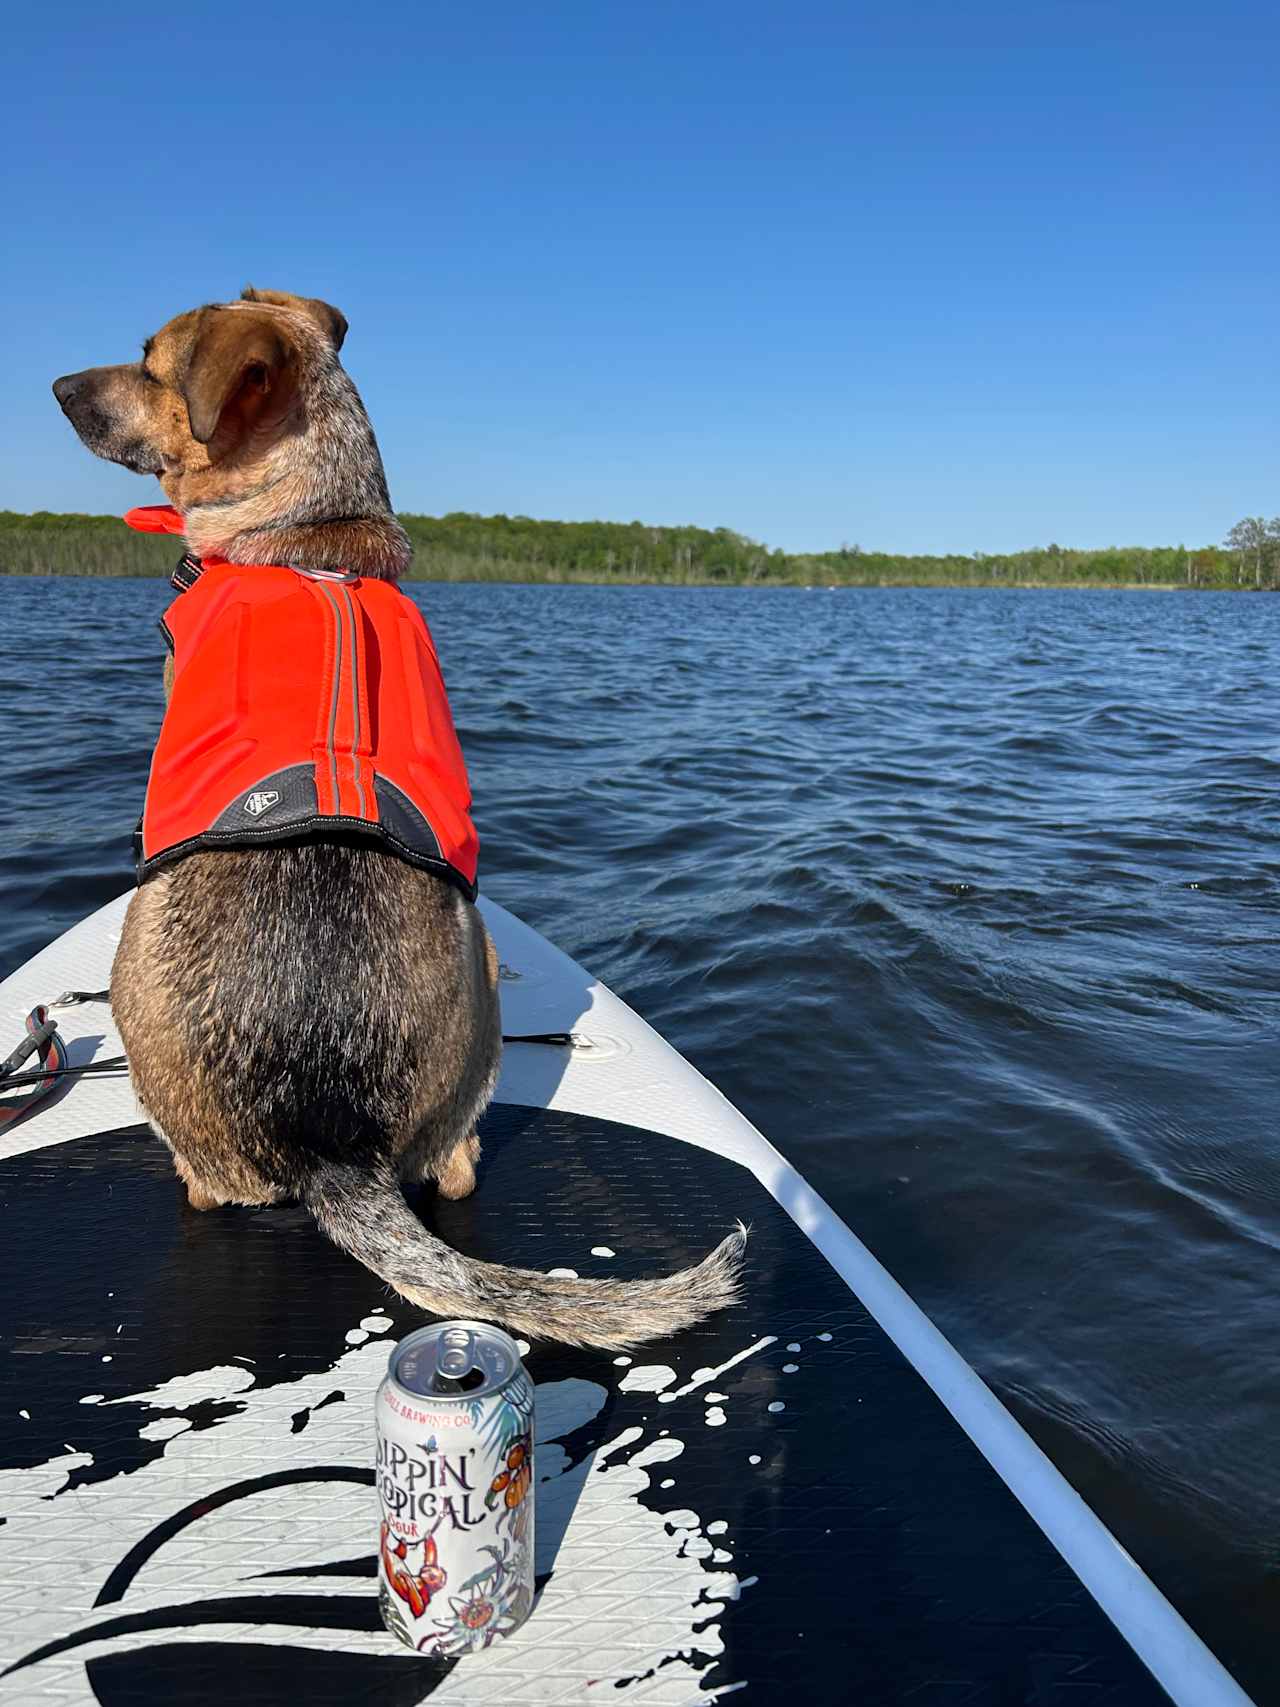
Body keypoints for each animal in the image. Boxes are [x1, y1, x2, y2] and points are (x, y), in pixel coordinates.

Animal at [55, 286, 747, 1345]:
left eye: (149, 361)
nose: (55, 387)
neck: (313, 536)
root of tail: (330, 1141)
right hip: (479, 980)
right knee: (457, 1166)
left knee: (215, 1186)